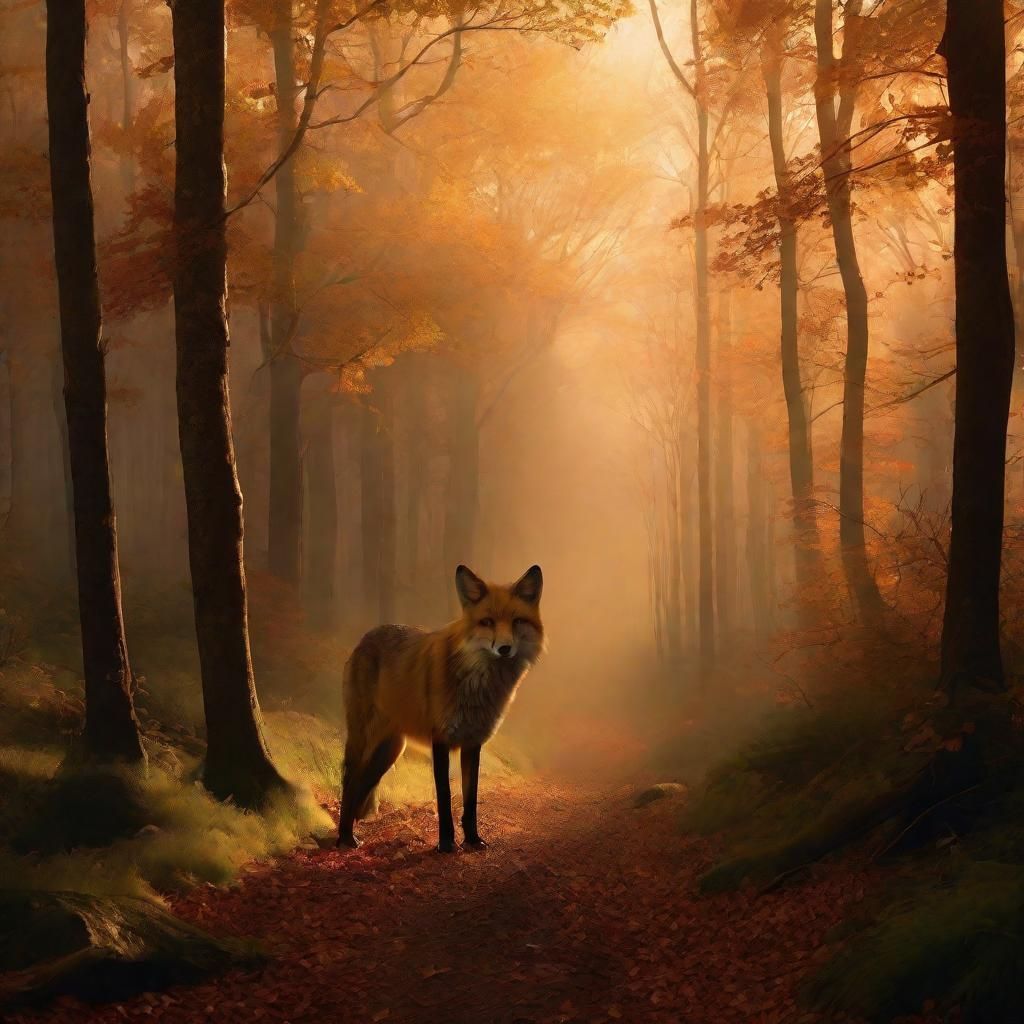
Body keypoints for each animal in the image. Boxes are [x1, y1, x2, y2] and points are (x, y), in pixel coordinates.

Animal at [336, 563, 544, 853]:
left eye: (517, 621)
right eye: (487, 621)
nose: (504, 648)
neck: (474, 685)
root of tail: (367, 635)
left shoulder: (473, 742)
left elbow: (470, 800)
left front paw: (473, 840)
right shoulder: (441, 739)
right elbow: (445, 797)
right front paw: (446, 843)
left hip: (391, 750)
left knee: (362, 783)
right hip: (364, 739)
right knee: (349, 780)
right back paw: (344, 837)